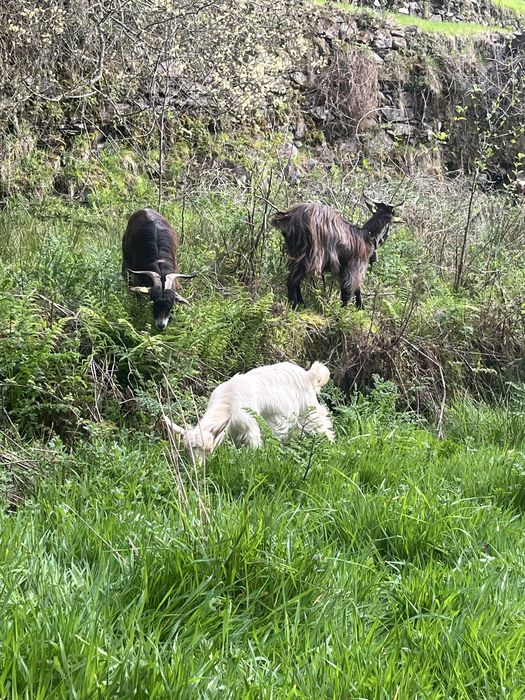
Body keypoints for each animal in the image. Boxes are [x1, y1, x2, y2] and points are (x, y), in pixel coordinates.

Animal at [164, 361, 335, 463]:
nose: (197, 467)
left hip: (309, 411)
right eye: (187, 450)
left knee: (323, 426)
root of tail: (309, 375)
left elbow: (254, 446)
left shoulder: (250, 425)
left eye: (208, 450)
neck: (229, 401)